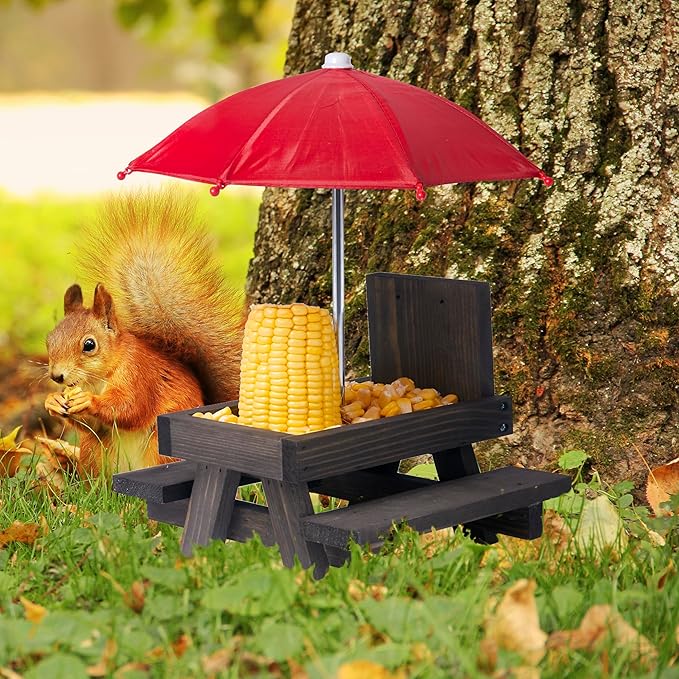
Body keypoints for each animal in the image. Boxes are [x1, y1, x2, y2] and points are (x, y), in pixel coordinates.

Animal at [44, 191, 244, 477]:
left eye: (89, 345)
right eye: (49, 340)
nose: (57, 376)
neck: (100, 377)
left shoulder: (139, 375)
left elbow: (129, 406)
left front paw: (88, 400)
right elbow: (92, 425)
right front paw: (52, 401)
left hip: (159, 445)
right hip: (93, 451)